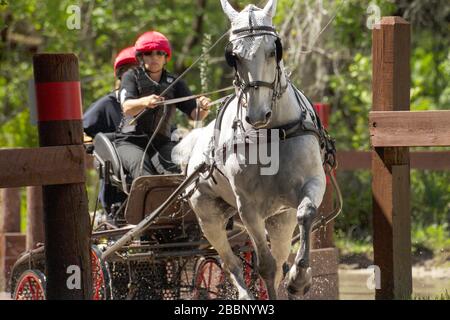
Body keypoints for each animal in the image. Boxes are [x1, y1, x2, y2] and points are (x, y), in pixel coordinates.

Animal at [172, 0, 326, 300]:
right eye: (234, 56)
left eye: (273, 50)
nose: (257, 114)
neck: (272, 134)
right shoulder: (248, 207)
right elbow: (264, 266)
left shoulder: (313, 183)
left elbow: (306, 215)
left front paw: (300, 278)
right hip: (209, 217)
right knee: (229, 261)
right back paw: (244, 294)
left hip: (279, 220)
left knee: (277, 258)